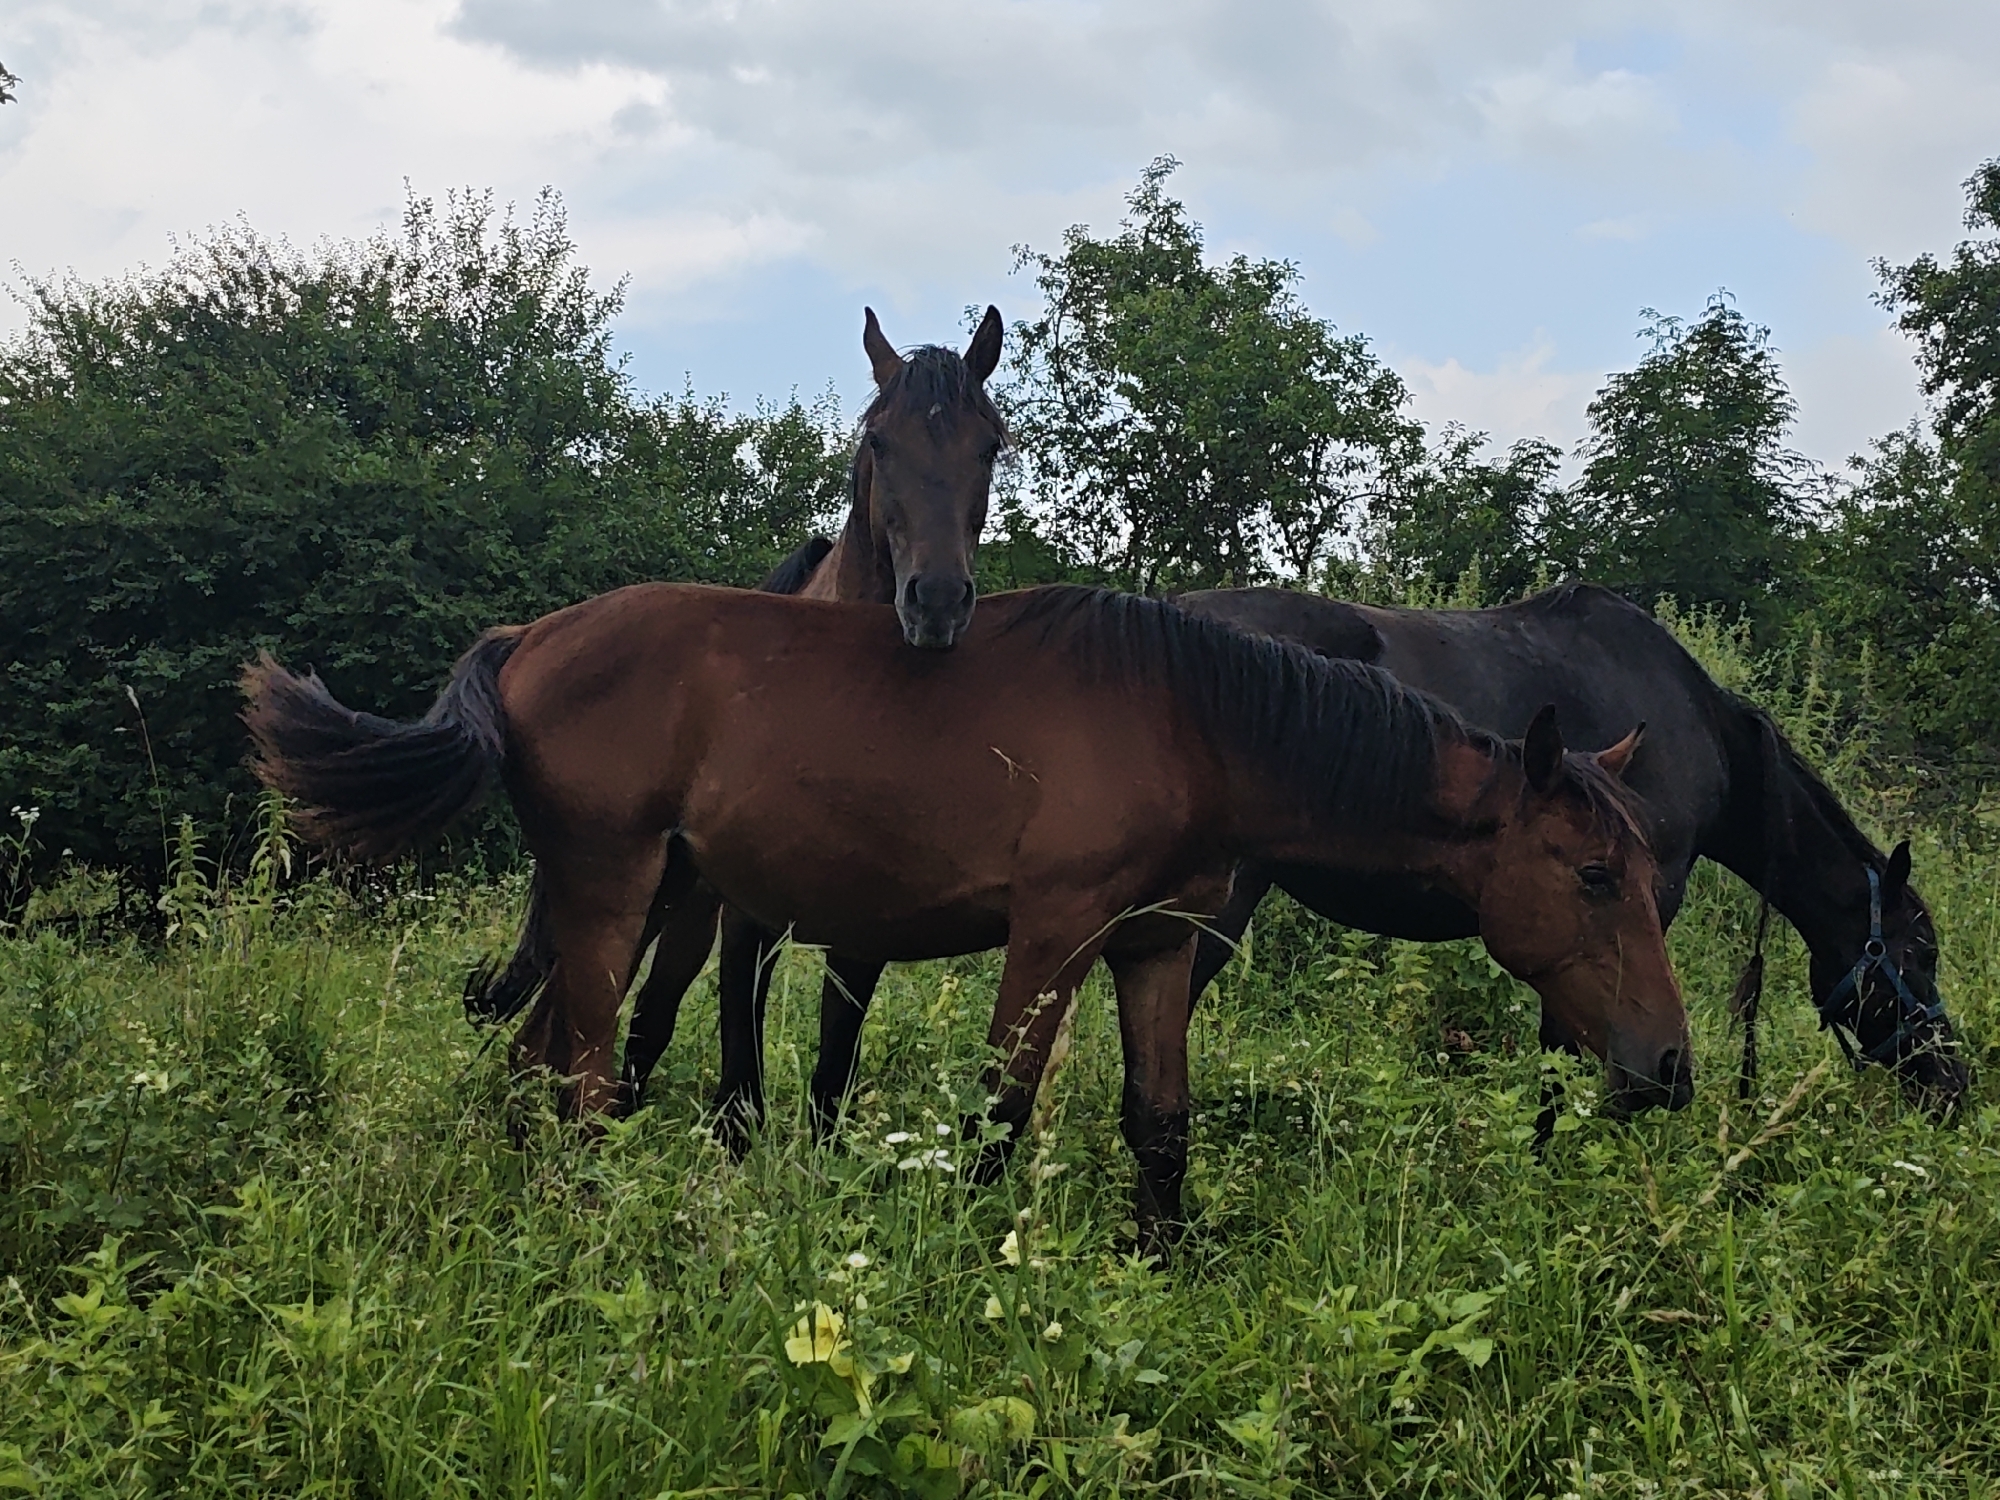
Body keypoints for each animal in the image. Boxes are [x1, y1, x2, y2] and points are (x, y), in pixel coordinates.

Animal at [243, 583, 1692, 1255]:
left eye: (1645, 873)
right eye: (1593, 875)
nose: (1667, 1069)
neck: (1194, 723)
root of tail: (528, 639)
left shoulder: (1154, 946)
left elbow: (1160, 1127)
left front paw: (1157, 1268)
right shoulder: (1053, 936)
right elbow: (999, 1118)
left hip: (631, 903)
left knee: (538, 1066)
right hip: (618, 897)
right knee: (586, 1081)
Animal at [464, 305, 1007, 1137]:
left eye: (990, 444)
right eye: (879, 442)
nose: (938, 601)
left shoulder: (866, 920)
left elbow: (834, 1063)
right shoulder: (749, 918)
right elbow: (737, 1066)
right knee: (602, 1019)